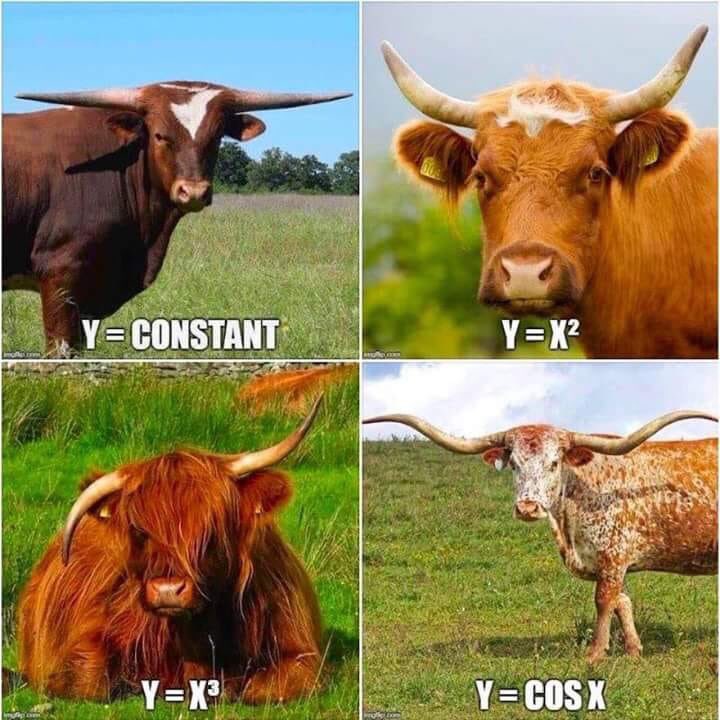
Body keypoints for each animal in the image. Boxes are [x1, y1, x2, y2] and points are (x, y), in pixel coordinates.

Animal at [18, 398, 324, 702]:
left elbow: (264, 688)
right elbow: (89, 681)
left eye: (211, 529)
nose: (167, 590)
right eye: (139, 531)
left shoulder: (299, 650)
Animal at [363, 410, 717, 663]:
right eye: (514, 464)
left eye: (554, 462)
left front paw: (594, 654)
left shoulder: (612, 556)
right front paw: (633, 651)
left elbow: (605, 602)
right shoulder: (609, 562)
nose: (527, 507)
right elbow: (623, 604)